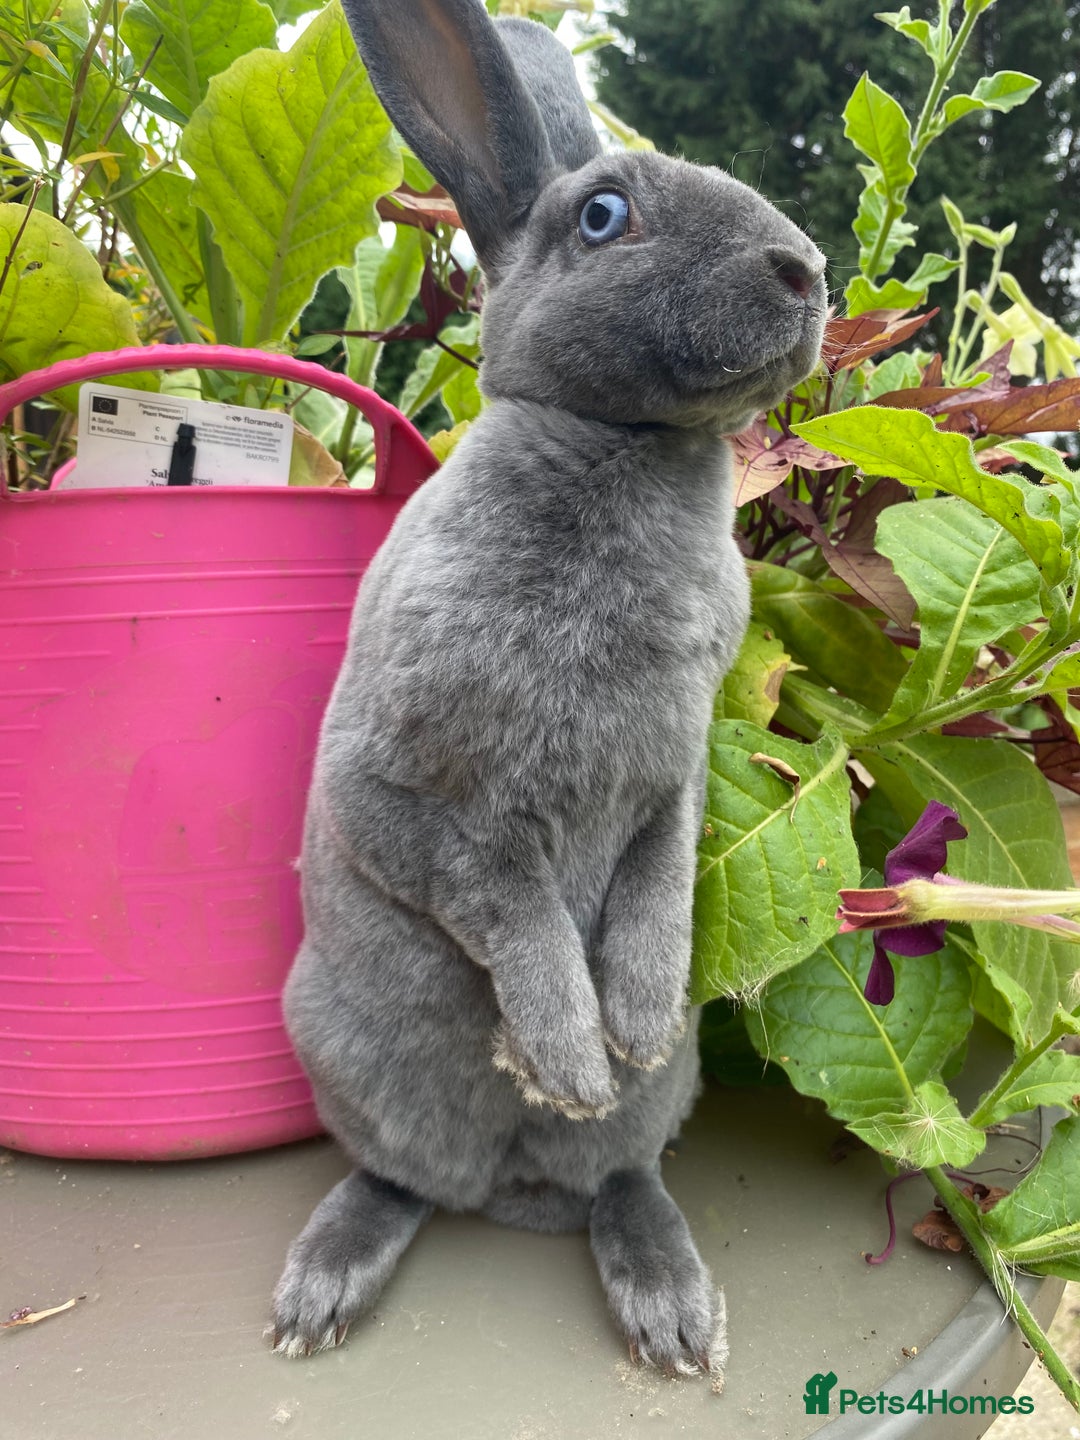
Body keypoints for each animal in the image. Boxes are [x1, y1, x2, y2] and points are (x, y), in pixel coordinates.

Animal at [269, 0, 827, 1379]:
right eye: (604, 217)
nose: (805, 272)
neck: (625, 447)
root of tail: (510, 1187)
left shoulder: (673, 778)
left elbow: (658, 881)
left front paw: (633, 1021)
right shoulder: (414, 793)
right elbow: (508, 904)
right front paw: (569, 1056)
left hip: (649, 1120)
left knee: (617, 1178)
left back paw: (670, 1307)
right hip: (349, 1063)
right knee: (408, 1181)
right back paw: (324, 1288)